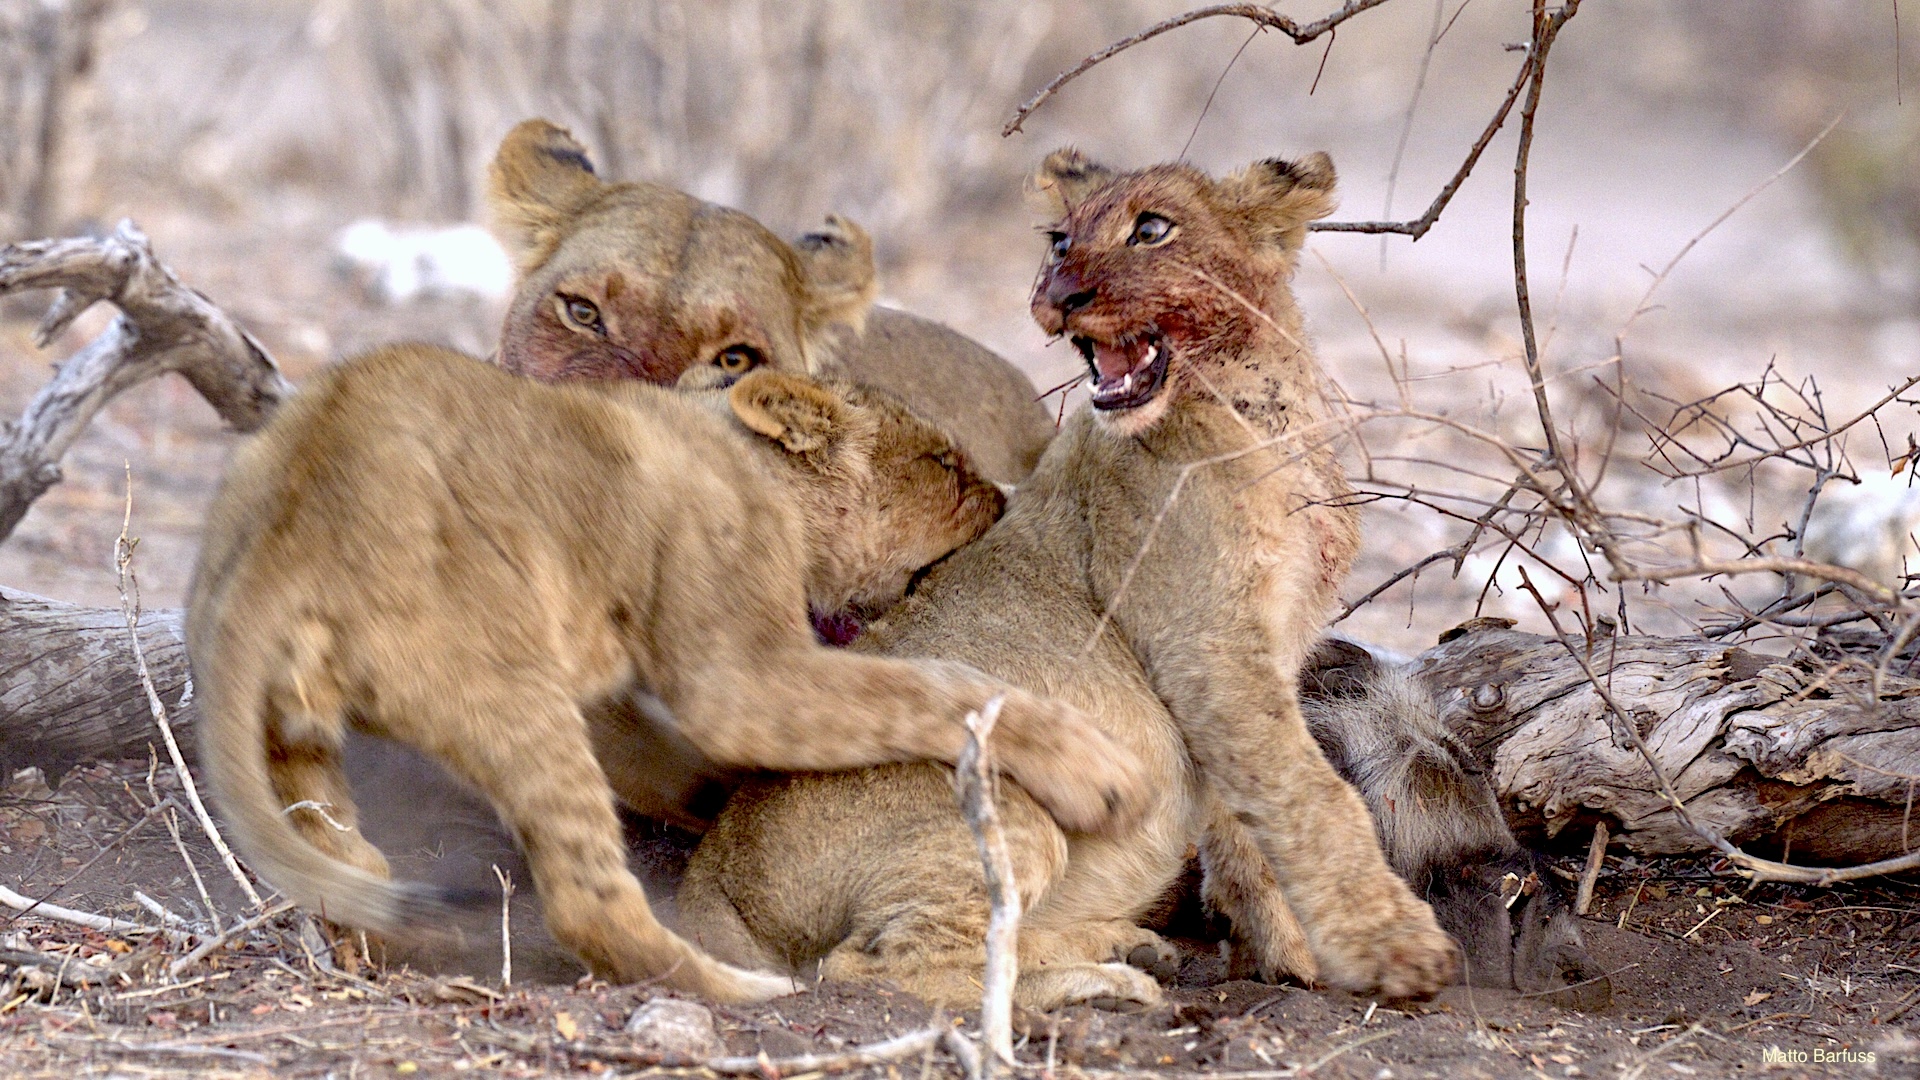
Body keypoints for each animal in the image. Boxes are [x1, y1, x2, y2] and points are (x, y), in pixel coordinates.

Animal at [185, 343, 1152, 1003]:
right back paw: (743, 991)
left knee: (347, 863)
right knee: (590, 905)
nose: (1004, 499)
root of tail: (282, 528)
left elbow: (679, 768)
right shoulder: (741, 679)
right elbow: (926, 685)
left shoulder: (617, 695)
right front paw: (1098, 772)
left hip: (300, 731)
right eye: (945, 466)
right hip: (506, 687)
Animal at [676, 148, 1459, 1011]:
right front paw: (1393, 950)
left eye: (1152, 230)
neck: (1264, 407)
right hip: (1012, 799)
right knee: (872, 965)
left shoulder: (1262, 657)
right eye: (1059, 240)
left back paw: (1121, 944)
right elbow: (1313, 796)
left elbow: (1247, 819)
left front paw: (1289, 953)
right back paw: (1097, 981)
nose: (1053, 298)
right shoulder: (1209, 649)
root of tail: (710, 875)